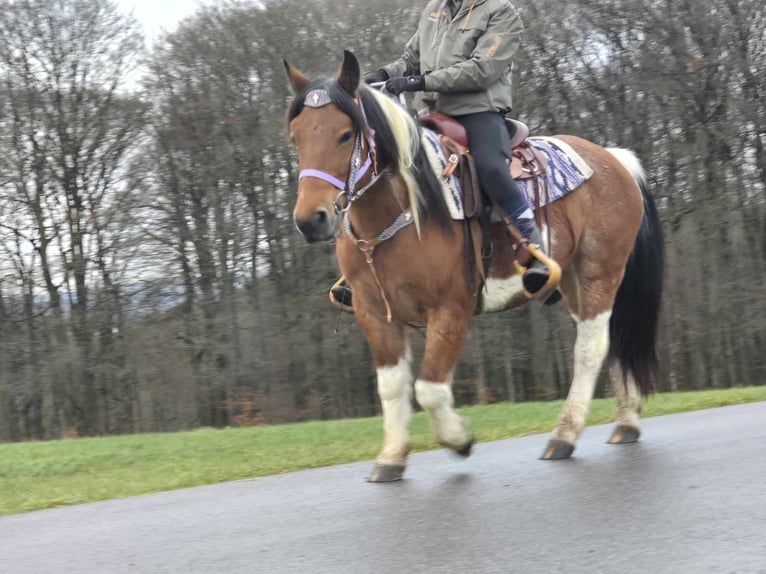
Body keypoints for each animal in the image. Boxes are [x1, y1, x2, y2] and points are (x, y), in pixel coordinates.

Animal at [284, 49, 664, 484]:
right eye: (296, 137)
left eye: (345, 135)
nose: (311, 220)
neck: (407, 209)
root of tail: (615, 159)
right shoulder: (374, 314)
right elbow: (393, 387)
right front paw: (391, 457)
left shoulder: (451, 310)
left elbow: (429, 388)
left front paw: (459, 440)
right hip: (573, 281)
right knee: (611, 340)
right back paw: (626, 423)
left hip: (599, 273)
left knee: (590, 348)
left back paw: (565, 435)